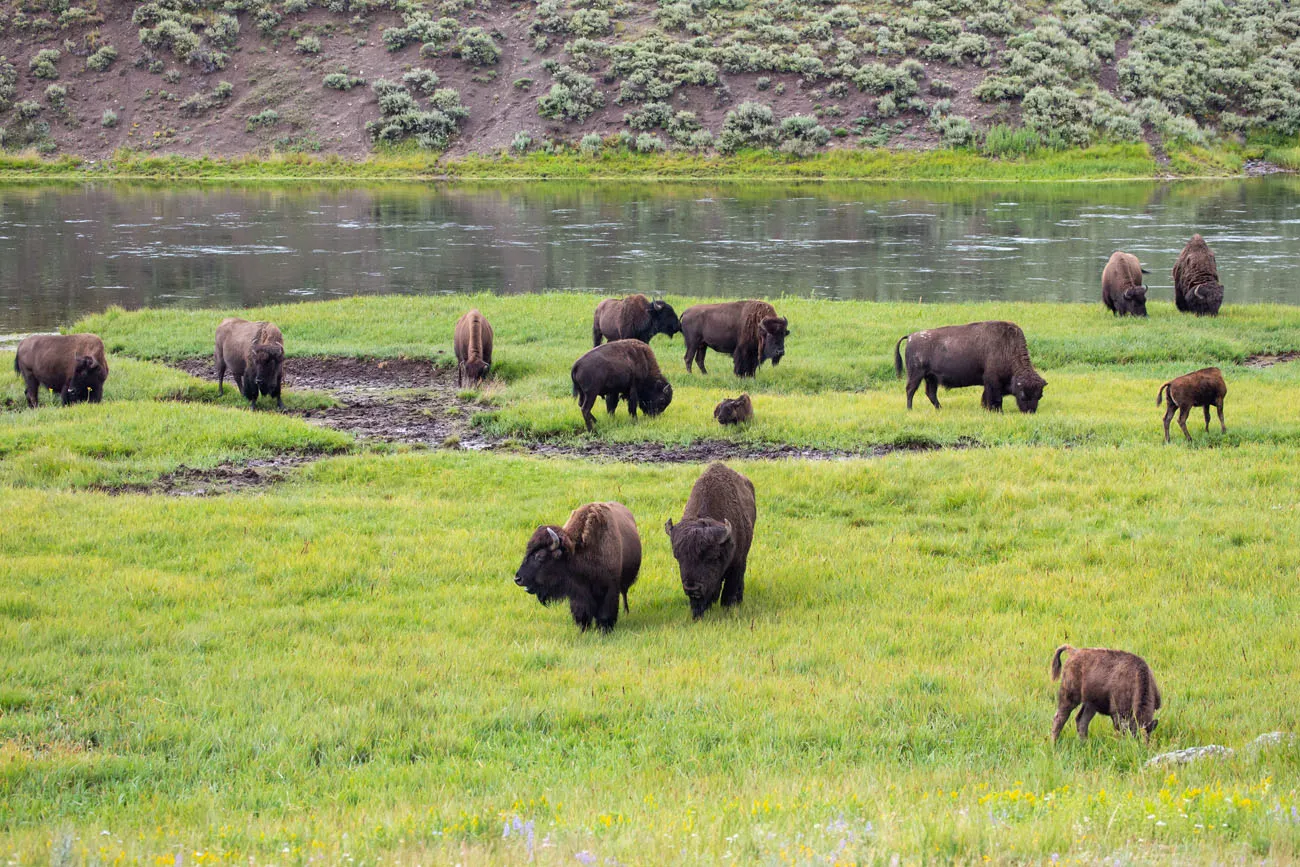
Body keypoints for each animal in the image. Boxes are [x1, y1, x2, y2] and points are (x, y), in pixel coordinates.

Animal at [514, 501, 642, 632]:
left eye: (540, 556)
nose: (518, 578)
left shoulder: (610, 589)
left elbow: (605, 614)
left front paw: (604, 630)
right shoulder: (577, 593)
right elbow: (582, 613)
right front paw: (583, 629)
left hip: (624, 582)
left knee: (624, 594)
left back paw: (626, 612)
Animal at [665, 462, 757, 618]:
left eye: (711, 557)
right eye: (678, 557)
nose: (692, 588)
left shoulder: (737, 563)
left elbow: (730, 588)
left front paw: (728, 607)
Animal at [894, 321, 1047, 413]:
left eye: (1039, 396)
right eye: (1023, 395)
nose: (1030, 412)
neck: (1008, 349)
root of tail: (911, 337)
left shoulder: (988, 383)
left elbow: (986, 397)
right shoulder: (992, 381)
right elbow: (995, 398)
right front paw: (997, 411)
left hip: (931, 377)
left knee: (930, 393)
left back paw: (940, 409)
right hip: (916, 375)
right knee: (910, 390)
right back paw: (910, 409)